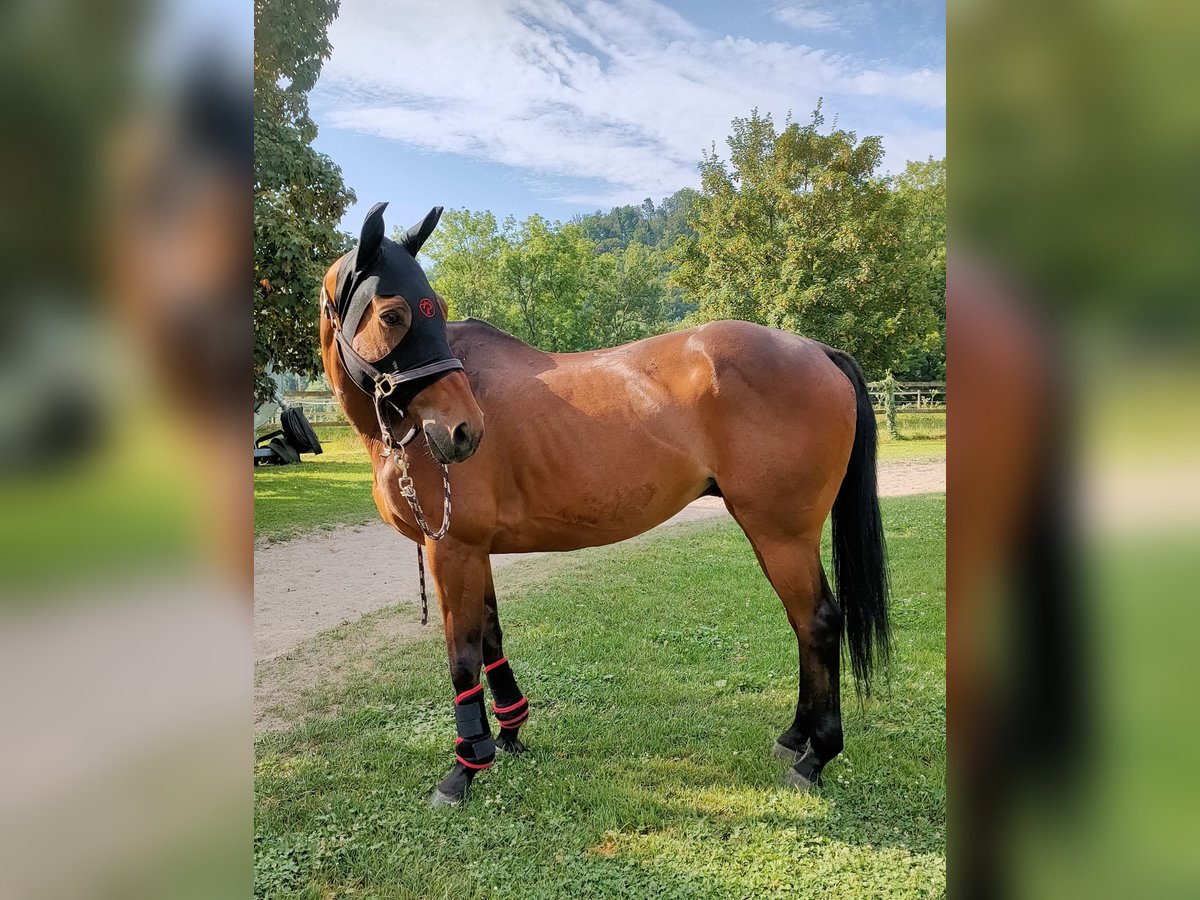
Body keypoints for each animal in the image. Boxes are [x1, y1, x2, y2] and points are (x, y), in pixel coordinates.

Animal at [321, 206, 892, 811]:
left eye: (434, 310)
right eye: (393, 313)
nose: (463, 432)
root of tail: (817, 350)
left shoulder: (451, 550)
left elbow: (463, 657)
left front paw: (465, 768)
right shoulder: (474, 552)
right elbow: (493, 637)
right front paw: (510, 733)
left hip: (783, 536)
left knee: (819, 622)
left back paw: (816, 755)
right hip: (771, 534)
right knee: (803, 623)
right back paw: (796, 737)